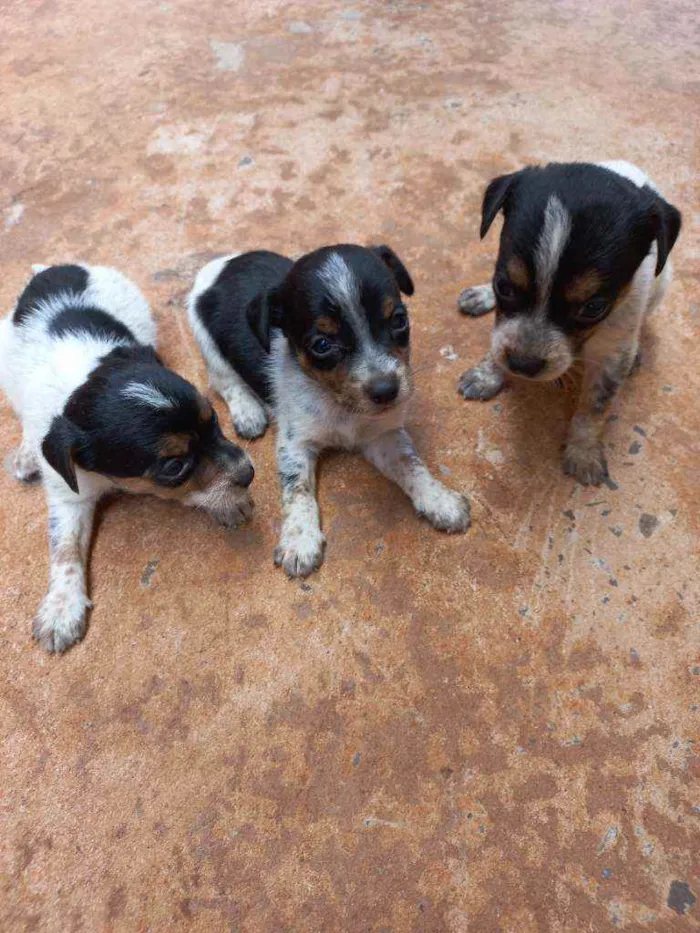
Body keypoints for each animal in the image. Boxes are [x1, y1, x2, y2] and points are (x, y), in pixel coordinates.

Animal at [0, 262, 254, 652]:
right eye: (174, 465)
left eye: (213, 418)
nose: (249, 473)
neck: (78, 383)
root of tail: (55, 267)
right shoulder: (67, 494)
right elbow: (65, 549)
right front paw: (62, 608)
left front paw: (228, 502)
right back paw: (28, 453)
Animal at [186, 244, 470, 576]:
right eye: (322, 345)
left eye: (398, 320)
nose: (387, 391)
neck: (342, 407)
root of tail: (225, 264)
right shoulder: (295, 444)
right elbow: (297, 490)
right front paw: (300, 540)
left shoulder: (383, 436)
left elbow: (412, 465)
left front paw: (439, 500)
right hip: (205, 340)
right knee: (225, 381)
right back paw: (248, 411)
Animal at [456, 159, 680, 484]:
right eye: (504, 286)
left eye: (594, 307)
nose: (522, 366)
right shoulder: (504, 324)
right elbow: (499, 342)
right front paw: (487, 374)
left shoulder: (611, 356)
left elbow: (593, 408)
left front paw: (583, 452)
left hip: (662, 284)